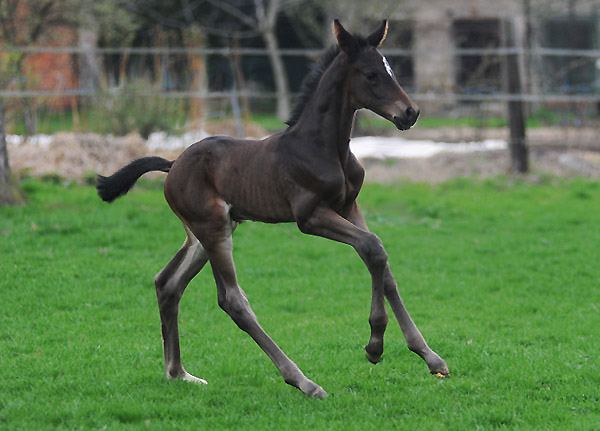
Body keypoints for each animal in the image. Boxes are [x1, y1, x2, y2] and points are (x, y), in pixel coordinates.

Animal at [96, 19, 448, 398]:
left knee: (168, 283)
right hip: (212, 228)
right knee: (232, 300)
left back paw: (178, 373)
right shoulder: (310, 216)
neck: (322, 146)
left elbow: (382, 264)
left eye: (390, 70)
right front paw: (375, 345)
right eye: (370, 75)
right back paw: (304, 381)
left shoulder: (349, 206)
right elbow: (373, 247)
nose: (410, 113)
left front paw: (429, 356)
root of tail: (173, 164)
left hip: (205, 233)